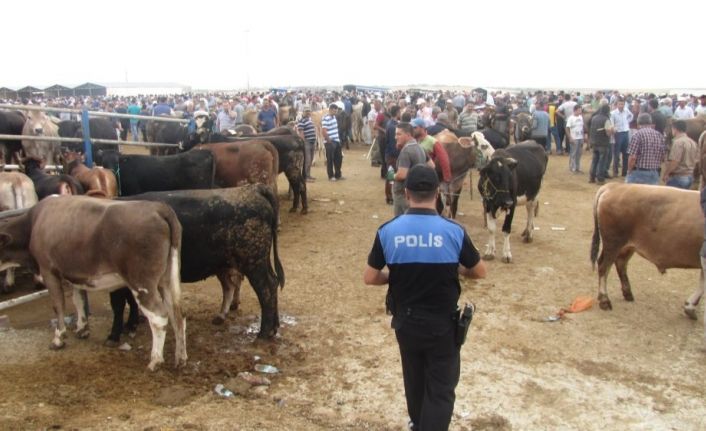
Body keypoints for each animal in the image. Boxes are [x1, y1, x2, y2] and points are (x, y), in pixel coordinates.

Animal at [0, 197, 187, 370]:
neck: (33, 223)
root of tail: (158, 207)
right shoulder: (74, 274)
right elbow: (79, 300)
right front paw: (82, 328)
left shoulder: (48, 270)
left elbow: (58, 305)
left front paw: (58, 338)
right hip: (166, 279)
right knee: (177, 314)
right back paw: (181, 358)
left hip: (142, 282)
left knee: (159, 316)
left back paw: (155, 360)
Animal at [109, 185, 284, 344]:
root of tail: (253, 189)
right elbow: (130, 300)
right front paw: (130, 325)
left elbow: (118, 304)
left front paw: (114, 335)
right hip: (242, 262)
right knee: (264, 284)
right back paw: (269, 327)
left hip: (253, 262)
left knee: (266, 289)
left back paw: (264, 333)